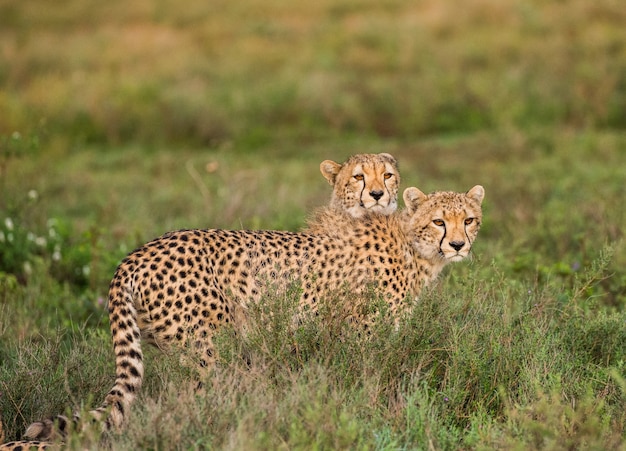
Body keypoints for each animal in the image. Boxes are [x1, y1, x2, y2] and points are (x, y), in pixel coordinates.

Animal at [23, 185, 482, 442]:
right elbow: (368, 385)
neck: (414, 248)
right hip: (209, 351)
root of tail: (134, 255)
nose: (459, 245)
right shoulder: (362, 335)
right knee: (199, 405)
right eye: (439, 221)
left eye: (469, 220)